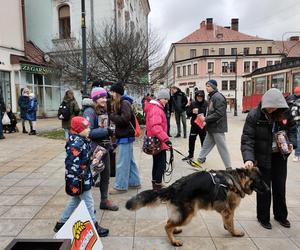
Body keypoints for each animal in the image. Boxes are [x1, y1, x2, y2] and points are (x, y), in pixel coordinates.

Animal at [126, 167, 270, 247]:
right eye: (259, 180)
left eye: (263, 179)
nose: (269, 189)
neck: (236, 180)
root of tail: (173, 187)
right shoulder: (228, 210)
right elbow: (231, 223)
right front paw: (234, 233)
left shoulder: (227, 210)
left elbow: (228, 222)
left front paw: (228, 228)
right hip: (188, 215)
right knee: (167, 226)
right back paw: (174, 242)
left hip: (182, 213)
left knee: (170, 221)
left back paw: (175, 231)